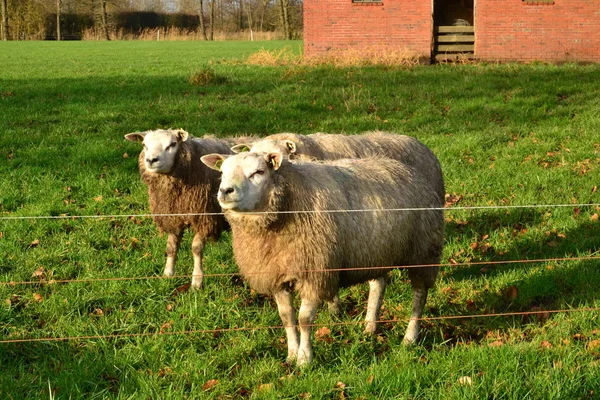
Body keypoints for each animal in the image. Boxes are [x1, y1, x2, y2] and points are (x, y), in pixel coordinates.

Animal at [124, 130, 244, 290]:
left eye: (172, 144)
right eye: (144, 145)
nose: (151, 160)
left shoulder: (204, 216)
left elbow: (196, 248)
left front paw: (197, 281)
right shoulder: (173, 216)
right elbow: (171, 247)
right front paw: (168, 274)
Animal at [202, 150, 446, 366]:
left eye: (259, 172)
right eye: (222, 172)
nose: (225, 191)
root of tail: (408, 170)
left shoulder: (314, 272)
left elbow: (304, 319)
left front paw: (304, 360)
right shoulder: (277, 274)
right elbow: (286, 317)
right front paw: (291, 355)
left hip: (424, 250)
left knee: (419, 295)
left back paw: (409, 338)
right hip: (376, 251)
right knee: (378, 285)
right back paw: (369, 327)